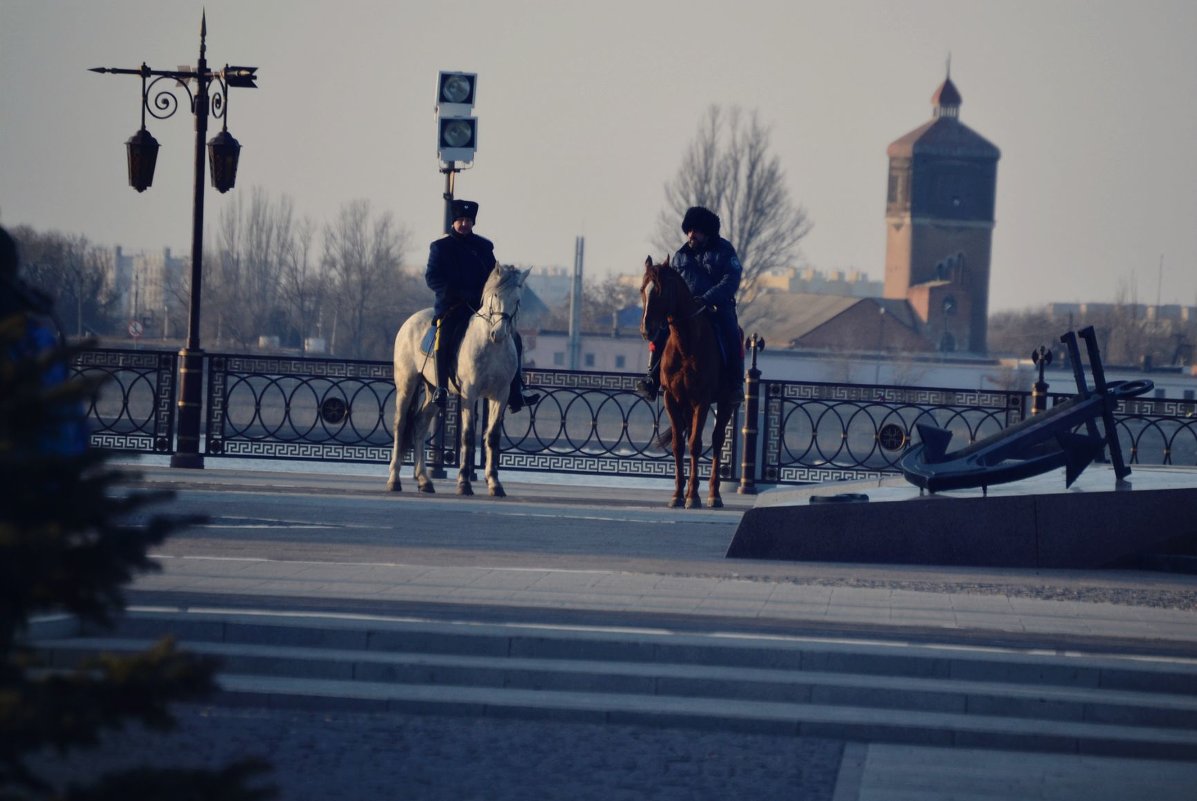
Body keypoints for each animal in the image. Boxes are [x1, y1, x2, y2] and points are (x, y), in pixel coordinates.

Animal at [387, 263, 529, 493]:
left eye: (517, 300)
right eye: (495, 295)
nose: (498, 334)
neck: (491, 346)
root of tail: (410, 320)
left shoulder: (501, 394)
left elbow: (492, 436)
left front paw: (494, 483)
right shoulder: (469, 393)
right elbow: (468, 435)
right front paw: (464, 482)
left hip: (433, 391)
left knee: (419, 424)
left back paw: (424, 480)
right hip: (406, 383)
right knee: (400, 425)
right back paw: (394, 479)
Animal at [636, 256, 737, 505]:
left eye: (660, 290)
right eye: (643, 288)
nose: (647, 329)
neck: (686, 343)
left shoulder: (702, 400)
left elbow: (695, 444)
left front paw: (692, 496)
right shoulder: (672, 398)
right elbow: (678, 444)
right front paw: (677, 495)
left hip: (725, 403)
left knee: (717, 440)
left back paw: (713, 494)